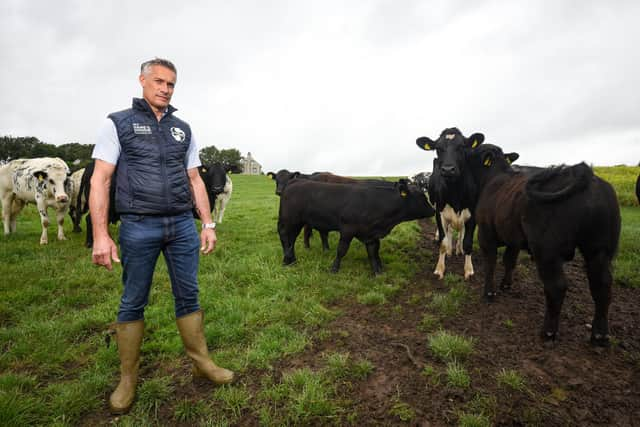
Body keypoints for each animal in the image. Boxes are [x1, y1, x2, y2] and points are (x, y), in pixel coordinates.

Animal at [276, 180, 436, 274]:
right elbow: (341, 250)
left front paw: (377, 271)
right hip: (290, 219)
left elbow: (373, 252)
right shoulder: (348, 229)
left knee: (291, 239)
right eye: (421, 196)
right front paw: (334, 269)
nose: (433, 210)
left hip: (297, 222)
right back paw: (287, 260)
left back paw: (291, 260)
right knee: (285, 236)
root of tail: (294, 182)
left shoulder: (371, 234)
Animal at [416, 127, 484, 280]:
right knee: (449, 232)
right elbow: (443, 241)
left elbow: (468, 242)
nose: (447, 169)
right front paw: (439, 269)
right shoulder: (439, 213)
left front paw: (468, 270)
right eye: (438, 148)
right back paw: (449, 249)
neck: (455, 194)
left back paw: (458, 249)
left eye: (462, 147)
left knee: (460, 232)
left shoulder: (472, 215)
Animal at [464, 144, 620, 348]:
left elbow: (490, 263)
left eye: (474, 150)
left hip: (547, 252)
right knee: (602, 287)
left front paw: (489, 293)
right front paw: (506, 285)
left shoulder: (486, 234)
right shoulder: (514, 239)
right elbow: (509, 261)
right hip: (599, 250)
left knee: (556, 287)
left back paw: (548, 332)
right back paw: (600, 335)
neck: (493, 177)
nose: (465, 151)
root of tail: (583, 174)